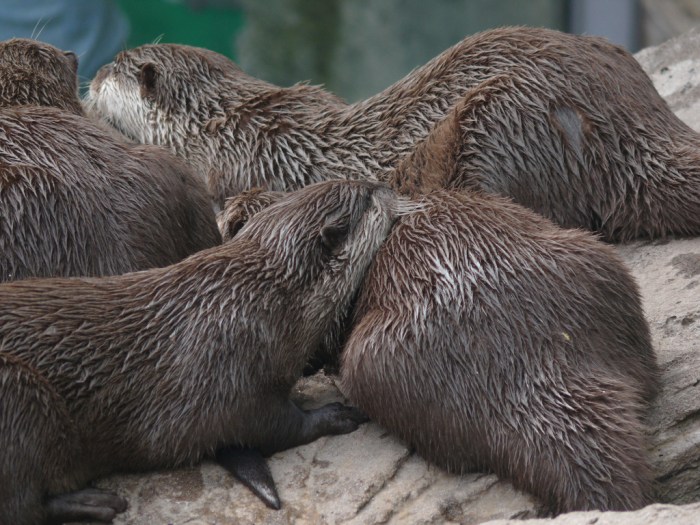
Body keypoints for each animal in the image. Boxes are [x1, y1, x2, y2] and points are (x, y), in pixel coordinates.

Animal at [0, 180, 404, 524]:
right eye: (368, 197)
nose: (385, 185)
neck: (259, 303)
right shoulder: (229, 375)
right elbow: (275, 427)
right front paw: (335, 415)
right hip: (18, 390)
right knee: (22, 506)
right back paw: (94, 502)